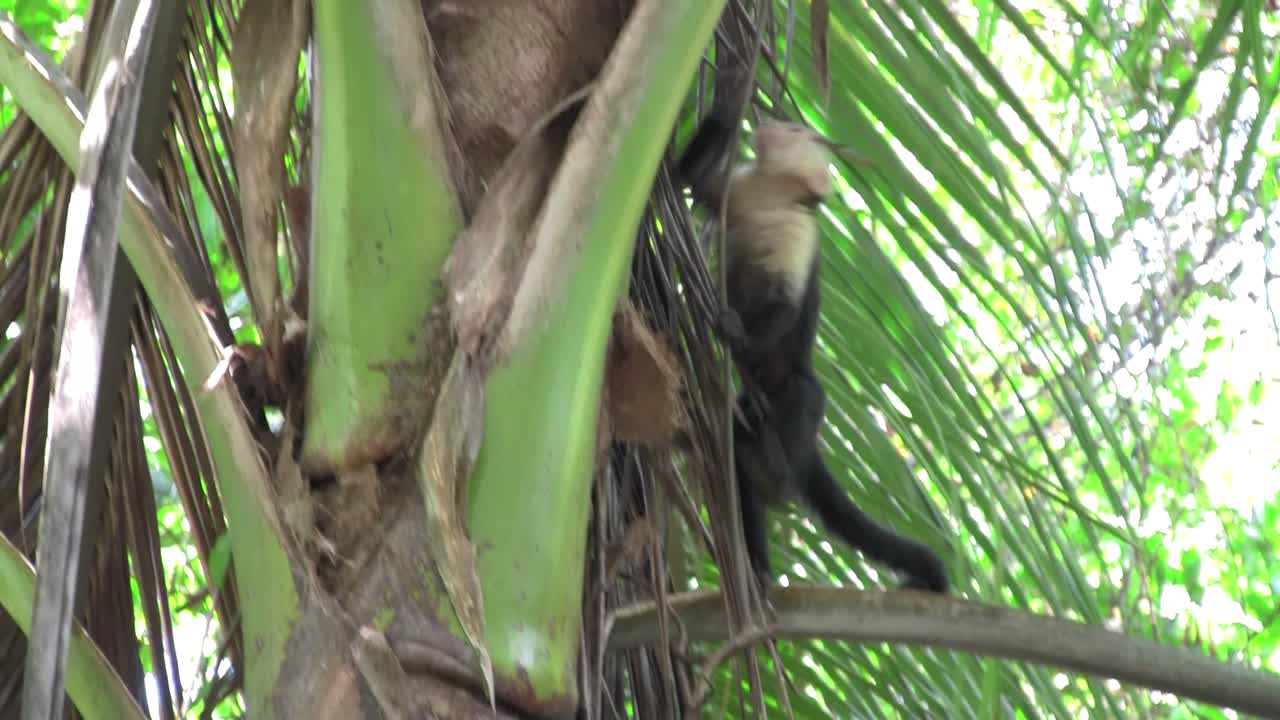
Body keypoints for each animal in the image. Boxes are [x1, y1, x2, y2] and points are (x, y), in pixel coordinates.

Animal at [676, 112, 948, 593]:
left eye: (799, 132)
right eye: (789, 125)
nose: (772, 123)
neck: (773, 194)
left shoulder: (801, 232)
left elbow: (785, 303)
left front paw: (736, 332)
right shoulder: (740, 187)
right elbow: (694, 179)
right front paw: (726, 104)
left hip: (794, 395)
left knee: (805, 394)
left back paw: (781, 476)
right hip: (751, 408)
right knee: (738, 450)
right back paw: (757, 561)